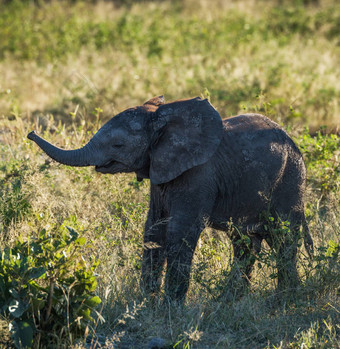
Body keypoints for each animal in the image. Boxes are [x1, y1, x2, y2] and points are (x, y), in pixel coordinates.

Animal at [27, 96, 312, 300]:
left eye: (118, 145)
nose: (30, 134)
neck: (164, 120)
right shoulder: (160, 173)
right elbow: (154, 229)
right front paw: (146, 306)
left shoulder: (198, 176)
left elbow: (180, 233)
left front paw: (170, 309)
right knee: (245, 243)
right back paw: (228, 301)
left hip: (290, 179)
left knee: (284, 238)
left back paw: (286, 301)